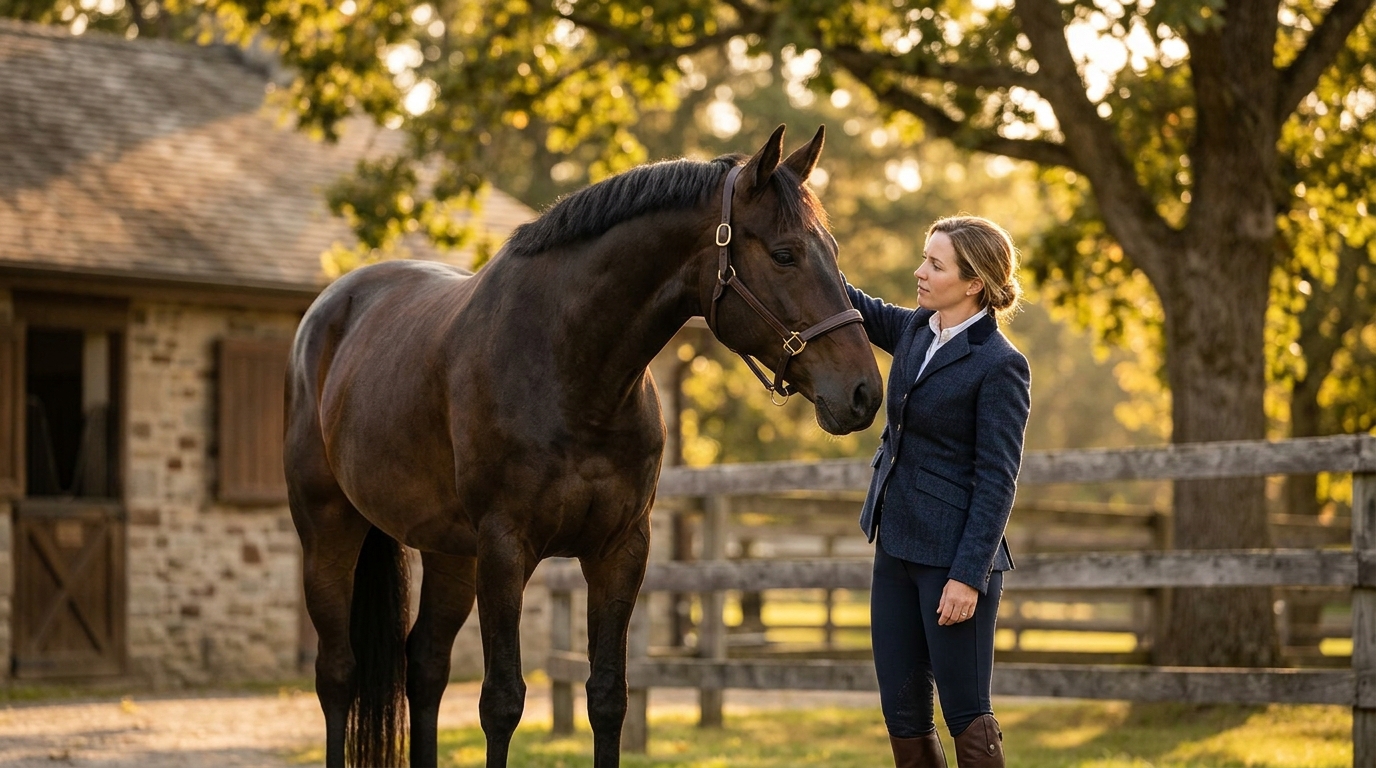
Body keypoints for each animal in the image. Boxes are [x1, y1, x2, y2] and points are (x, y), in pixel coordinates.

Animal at [284, 124, 883, 767]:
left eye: (833, 251)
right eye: (784, 254)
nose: (864, 392)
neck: (571, 369)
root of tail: (331, 307)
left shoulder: (619, 551)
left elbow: (608, 697)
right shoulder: (505, 549)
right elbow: (502, 702)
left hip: (448, 552)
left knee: (424, 666)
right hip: (330, 534)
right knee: (338, 674)